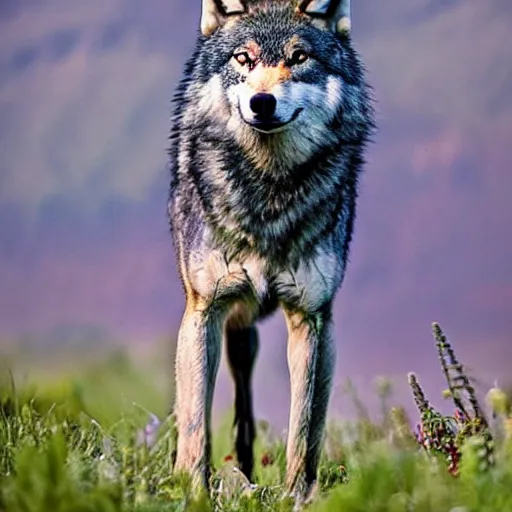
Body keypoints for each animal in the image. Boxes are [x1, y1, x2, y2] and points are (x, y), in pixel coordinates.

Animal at [167, 0, 372, 504]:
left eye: (299, 58)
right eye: (244, 59)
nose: (262, 102)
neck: (269, 192)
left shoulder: (309, 317)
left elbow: (302, 427)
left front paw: (296, 496)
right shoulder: (204, 309)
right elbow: (195, 424)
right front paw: (193, 491)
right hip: (237, 331)